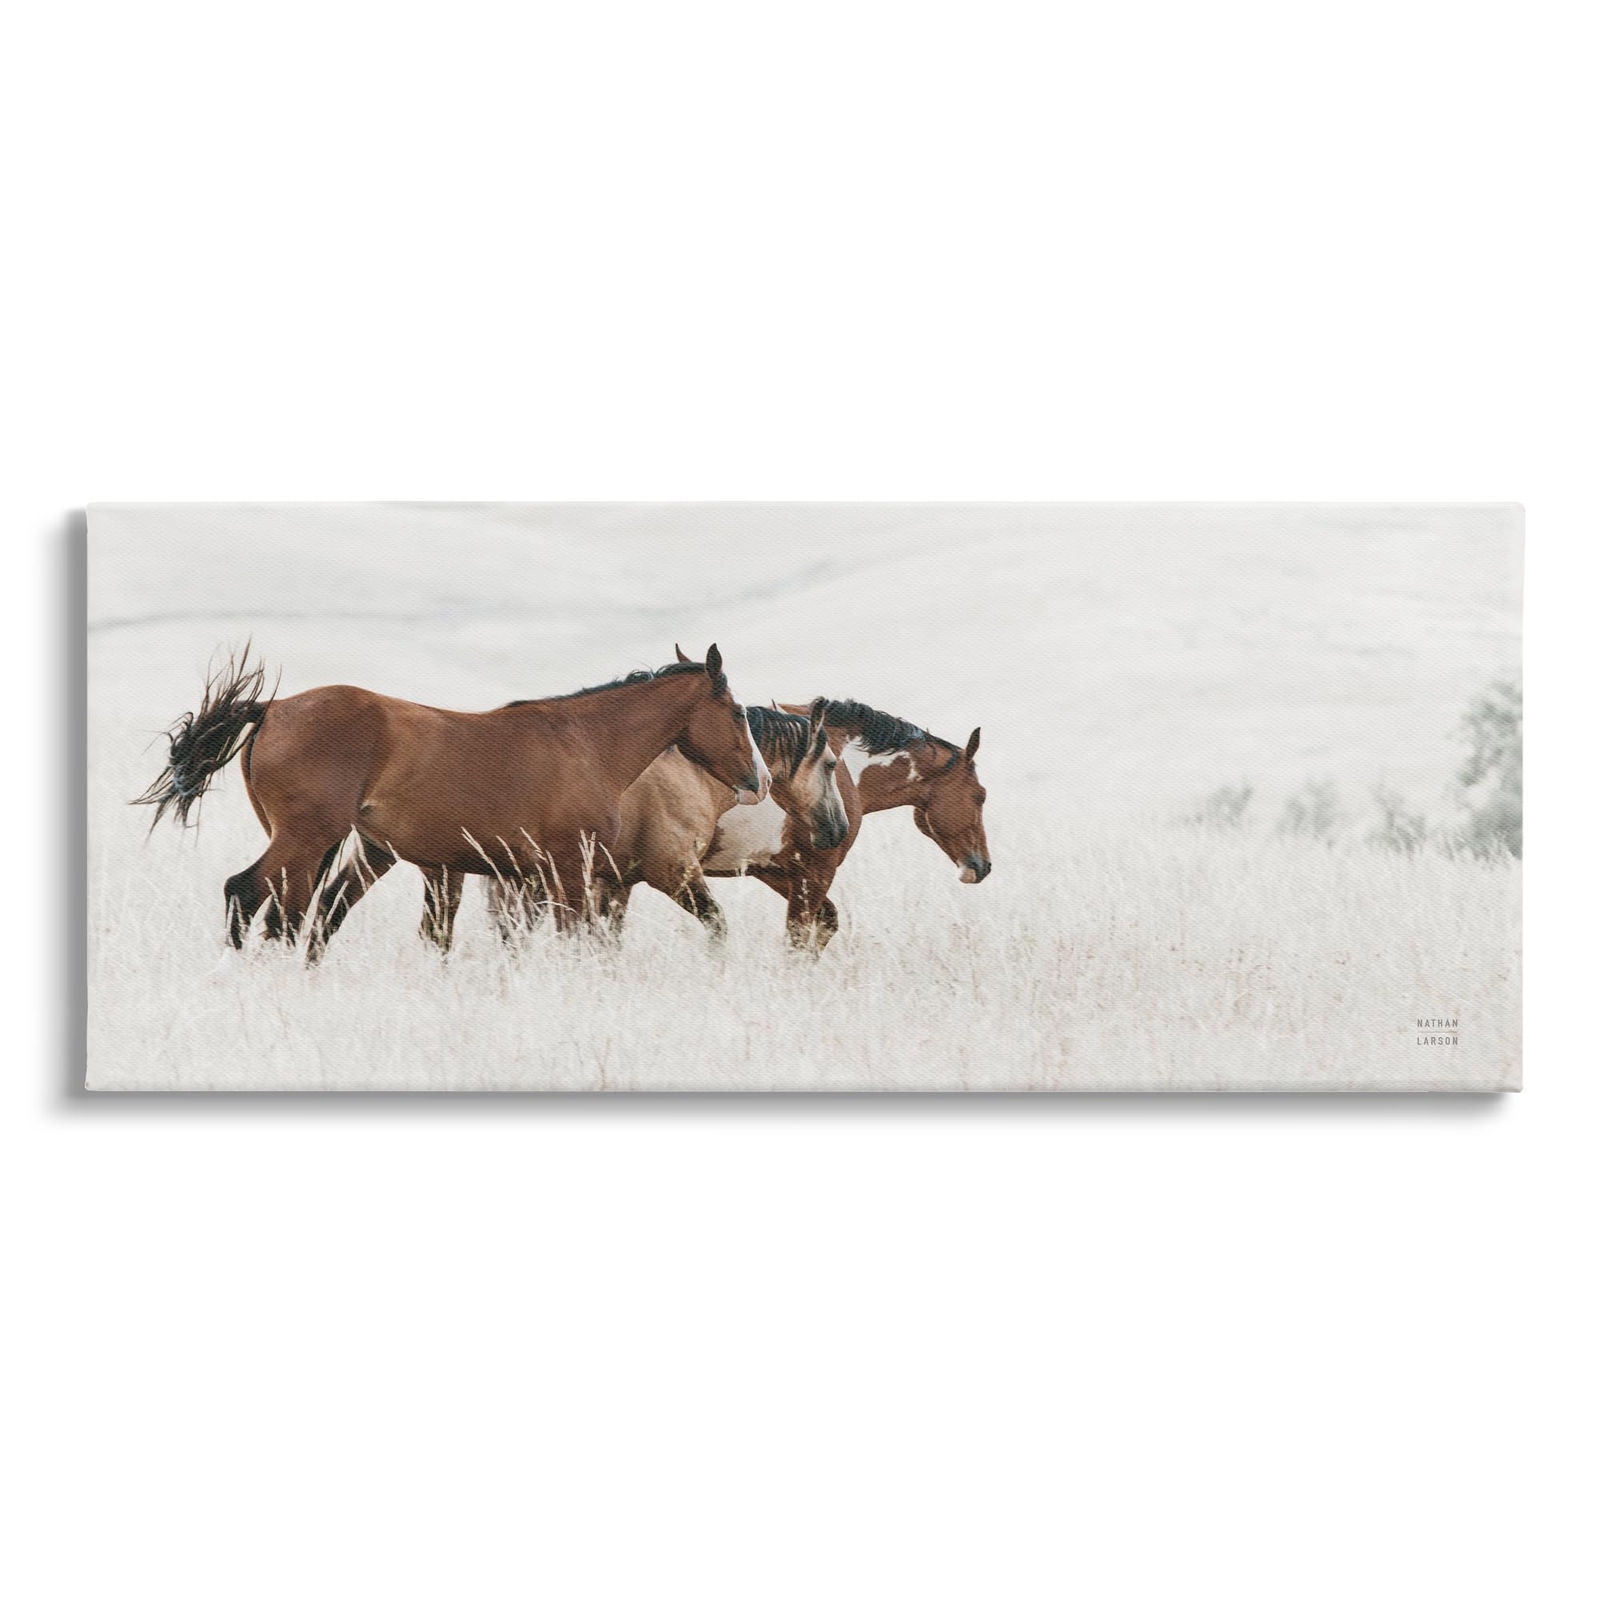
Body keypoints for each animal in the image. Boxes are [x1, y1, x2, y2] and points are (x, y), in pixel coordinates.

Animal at [134, 645, 770, 957]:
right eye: (737, 712)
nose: (759, 780)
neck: (585, 742)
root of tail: (272, 708)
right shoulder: (568, 868)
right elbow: (577, 938)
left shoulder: (518, 873)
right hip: (307, 838)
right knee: (248, 895)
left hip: (324, 845)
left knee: (289, 915)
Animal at [484, 697, 850, 945]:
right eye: (831, 764)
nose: (839, 829)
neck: (694, 774)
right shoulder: (673, 872)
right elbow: (717, 925)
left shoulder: (617, 880)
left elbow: (605, 939)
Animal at [700, 696, 991, 950]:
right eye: (981, 795)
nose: (983, 866)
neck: (841, 765)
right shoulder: (815, 872)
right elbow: (798, 939)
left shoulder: (772, 871)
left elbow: (827, 922)